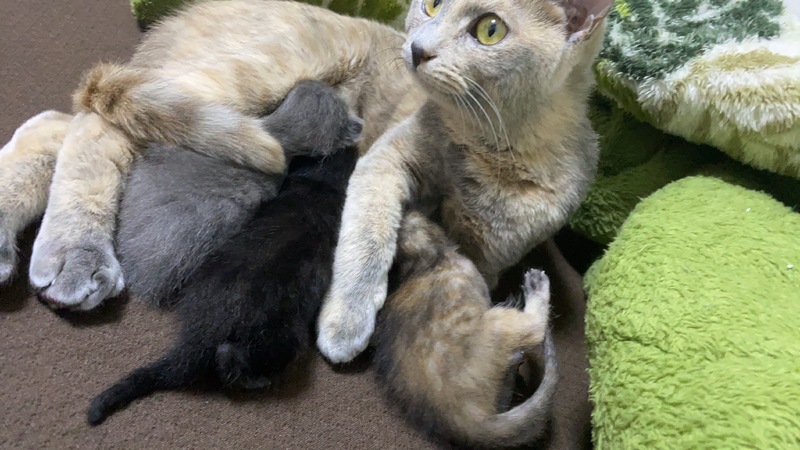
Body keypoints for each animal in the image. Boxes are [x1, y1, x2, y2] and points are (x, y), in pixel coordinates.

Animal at [86, 143, 359, 426]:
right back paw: (257, 380)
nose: (353, 144)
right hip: (283, 339)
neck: (318, 184)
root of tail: (197, 341)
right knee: (230, 359)